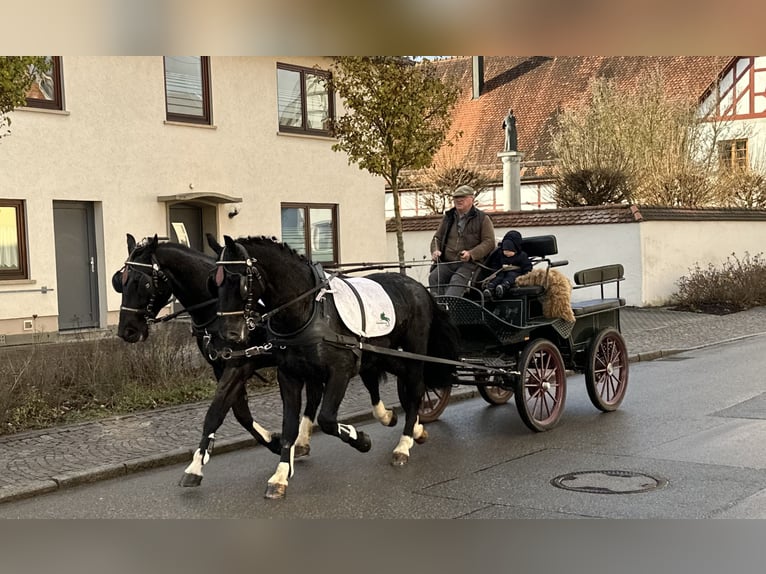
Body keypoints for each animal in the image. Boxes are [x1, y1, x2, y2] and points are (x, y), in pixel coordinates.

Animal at [109, 236, 290, 488]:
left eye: (143, 283)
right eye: (119, 281)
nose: (126, 330)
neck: (215, 307)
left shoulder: (241, 364)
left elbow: (216, 411)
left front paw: (195, 466)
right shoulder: (221, 367)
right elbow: (240, 413)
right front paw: (273, 442)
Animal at [208, 236, 462, 502]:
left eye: (237, 280)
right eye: (214, 283)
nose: (228, 334)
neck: (308, 310)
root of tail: (420, 288)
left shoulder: (340, 371)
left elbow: (327, 419)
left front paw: (360, 439)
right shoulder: (289, 375)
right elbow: (289, 426)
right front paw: (280, 476)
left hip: (414, 350)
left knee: (415, 387)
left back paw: (404, 443)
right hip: (382, 353)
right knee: (407, 381)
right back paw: (412, 428)